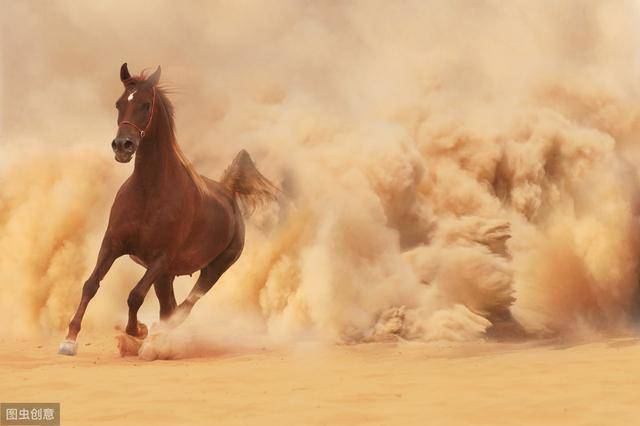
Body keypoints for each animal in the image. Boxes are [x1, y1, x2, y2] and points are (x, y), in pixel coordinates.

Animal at [59, 63, 278, 356]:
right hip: (167, 276)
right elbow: (90, 285)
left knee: (183, 308)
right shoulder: (112, 244)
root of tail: (228, 191)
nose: (122, 146)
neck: (149, 191)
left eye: (146, 104)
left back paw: (158, 339)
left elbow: (135, 295)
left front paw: (137, 331)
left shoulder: (161, 257)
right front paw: (69, 340)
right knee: (169, 306)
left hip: (212, 269)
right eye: (119, 103)